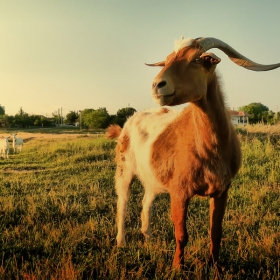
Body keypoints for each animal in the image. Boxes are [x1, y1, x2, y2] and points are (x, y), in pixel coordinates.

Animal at [105, 36, 280, 270]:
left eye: (197, 59)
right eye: (167, 60)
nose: (157, 85)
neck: (209, 150)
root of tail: (128, 122)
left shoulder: (222, 190)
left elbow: (216, 232)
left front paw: (216, 266)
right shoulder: (180, 191)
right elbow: (181, 234)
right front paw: (177, 267)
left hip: (152, 175)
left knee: (146, 201)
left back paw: (148, 236)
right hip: (124, 167)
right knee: (122, 202)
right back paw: (121, 242)